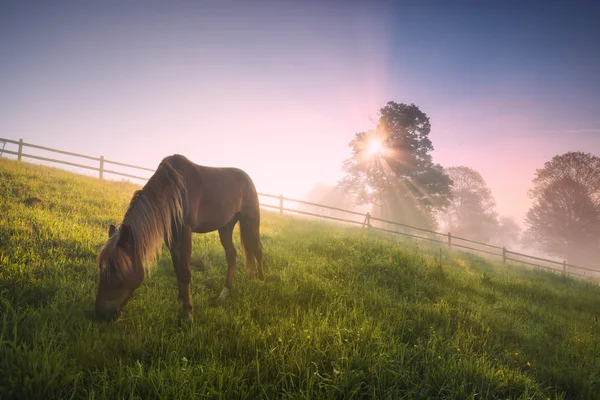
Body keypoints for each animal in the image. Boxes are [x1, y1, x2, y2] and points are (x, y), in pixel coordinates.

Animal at [94, 155, 262, 324]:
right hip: (225, 226)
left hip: (250, 221)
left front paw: (187, 314)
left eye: (115, 269)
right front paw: (183, 302)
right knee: (232, 255)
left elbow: (184, 272)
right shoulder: (172, 237)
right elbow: (178, 270)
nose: (100, 314)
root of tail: (248, 178)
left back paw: (261, 280)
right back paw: (225, 292)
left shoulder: (184, 232)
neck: (174, 192)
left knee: (257, 249)